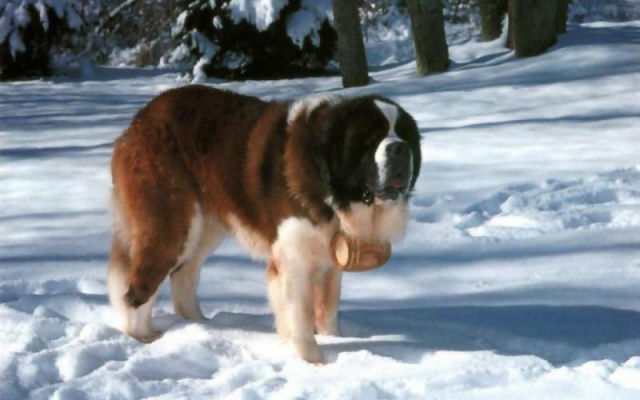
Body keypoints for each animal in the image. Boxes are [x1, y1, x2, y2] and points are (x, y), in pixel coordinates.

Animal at [110, 84, 420, 362]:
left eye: (404, 134)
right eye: (371, 139)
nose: (400, 150)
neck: (330, 187)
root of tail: (138, 122)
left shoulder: (330, 259)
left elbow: (327, 306)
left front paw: (335, 339)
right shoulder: (293, 260)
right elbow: (299, 312)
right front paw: (312, 361)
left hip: (206, 228)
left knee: (183, 274)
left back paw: (203, 325)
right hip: (172, 224)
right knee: (139, 286)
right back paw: (142, 336)